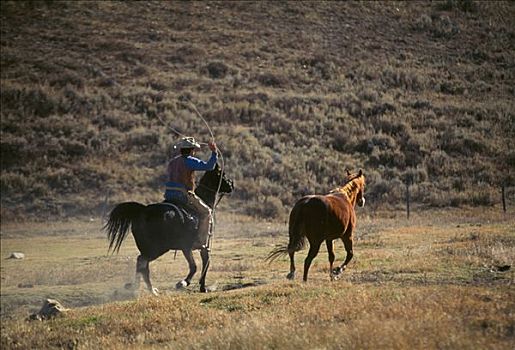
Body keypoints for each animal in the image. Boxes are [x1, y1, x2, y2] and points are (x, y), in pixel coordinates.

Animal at [105, 164, 234, 292]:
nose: (231, 185)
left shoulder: (189, 248)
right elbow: (198, 265)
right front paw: (188, 284)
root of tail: (143, 210)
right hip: (157, 249)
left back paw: (136, 287)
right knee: (142, 263)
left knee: (141, 264)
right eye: (223, 174)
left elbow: (200, 265)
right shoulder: (197, 247)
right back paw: (151, 290)